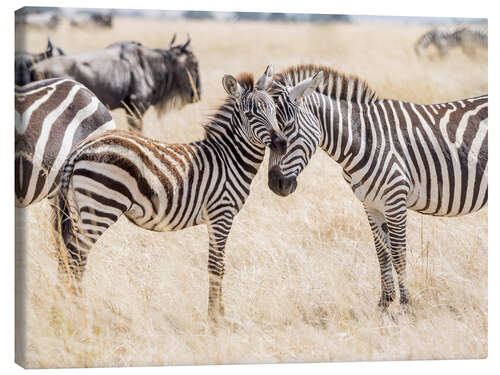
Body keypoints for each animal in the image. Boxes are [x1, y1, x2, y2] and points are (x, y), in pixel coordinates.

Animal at [52, 65, 288, 324]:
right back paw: (79, 311)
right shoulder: (221, 214)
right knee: (77, 256)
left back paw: (67, 307)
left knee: (67, 255)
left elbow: (215, 264)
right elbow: (217, 266)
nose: (281, 142)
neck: (229, 159)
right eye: (249, 114)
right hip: (101, 206)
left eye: (274, 110)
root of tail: (80, 148)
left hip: (78, 207)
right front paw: (216, 317)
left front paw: (217, 313)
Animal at [268, 64, 486, 312]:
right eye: (265, 133)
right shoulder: (371, 205)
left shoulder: (395, 201)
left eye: (288, 127)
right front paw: (384, 305)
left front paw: (405, 306)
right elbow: (382, 253)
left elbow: (398, 254)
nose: (275, 184)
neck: (365, 141)